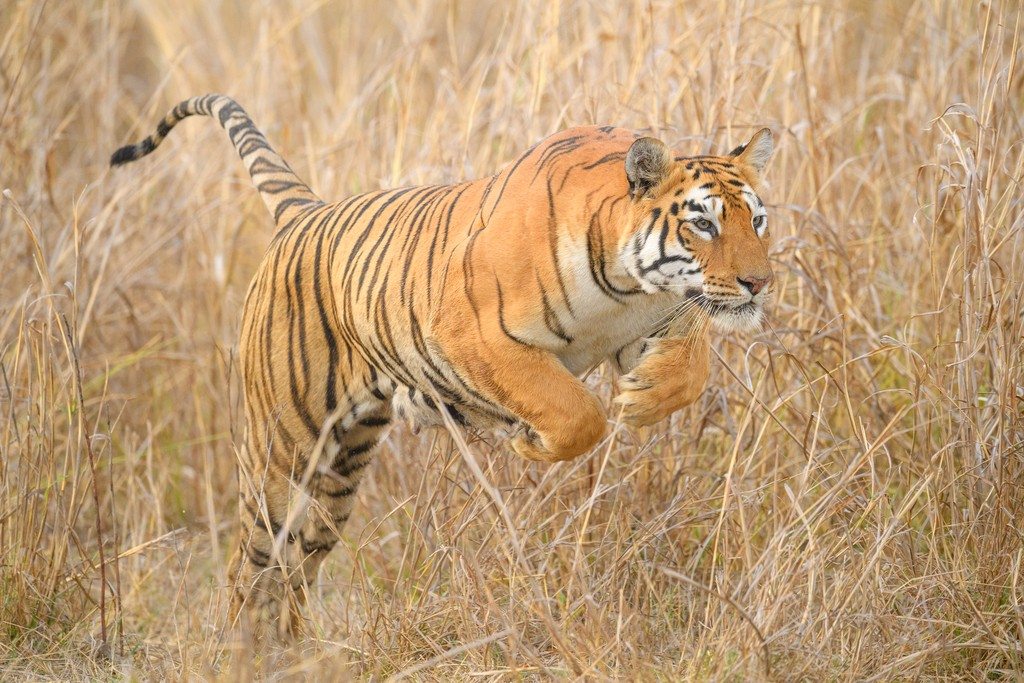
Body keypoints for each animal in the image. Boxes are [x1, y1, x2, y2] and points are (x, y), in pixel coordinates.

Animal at [110, 94, 775, 641]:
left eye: (758, 220)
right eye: (704, 222)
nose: (760, 283)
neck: (627, 289)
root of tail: (305, 212)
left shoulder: (665, 317)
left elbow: (692, 370)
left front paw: (642, 396)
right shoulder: (470, 335)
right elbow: (572, 408)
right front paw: (532, 442)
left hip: (339, 474)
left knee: (297, 569)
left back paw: (291, 653)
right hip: (283, 451)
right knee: (250, 565)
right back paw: (239, 649)